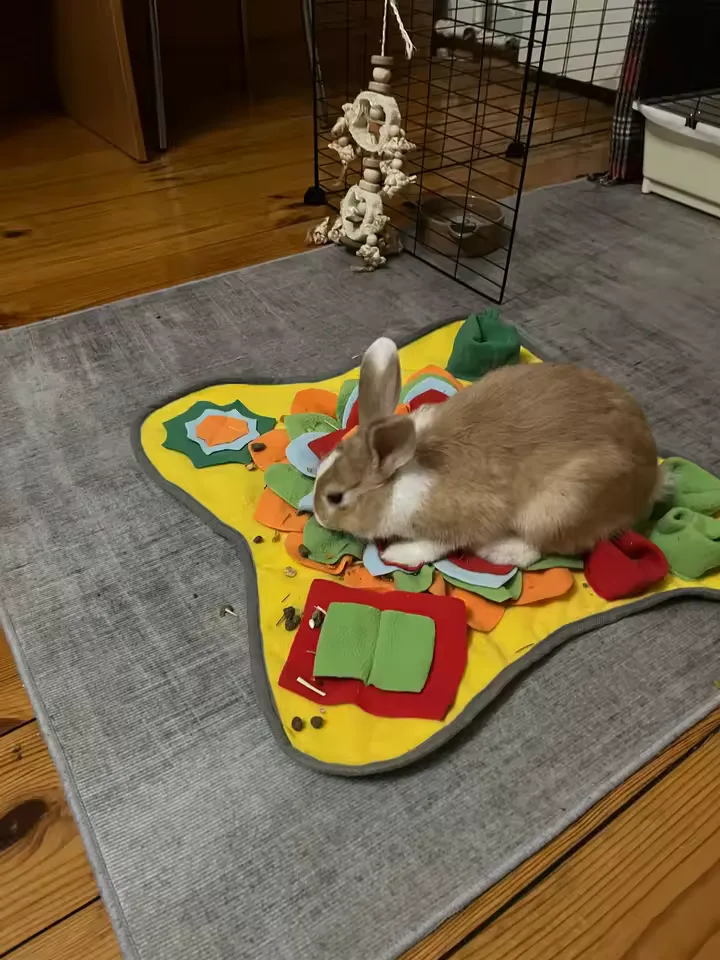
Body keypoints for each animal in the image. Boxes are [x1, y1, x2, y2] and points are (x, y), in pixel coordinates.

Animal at [312, 337, 662, 569]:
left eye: (335, 497)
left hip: (560, 507)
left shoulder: (463, 520)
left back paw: (500, 550)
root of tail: (650, 480)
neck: (398, 479)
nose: (317, 515)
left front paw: (397, 554)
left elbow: (435, 545)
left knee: (541, 548)